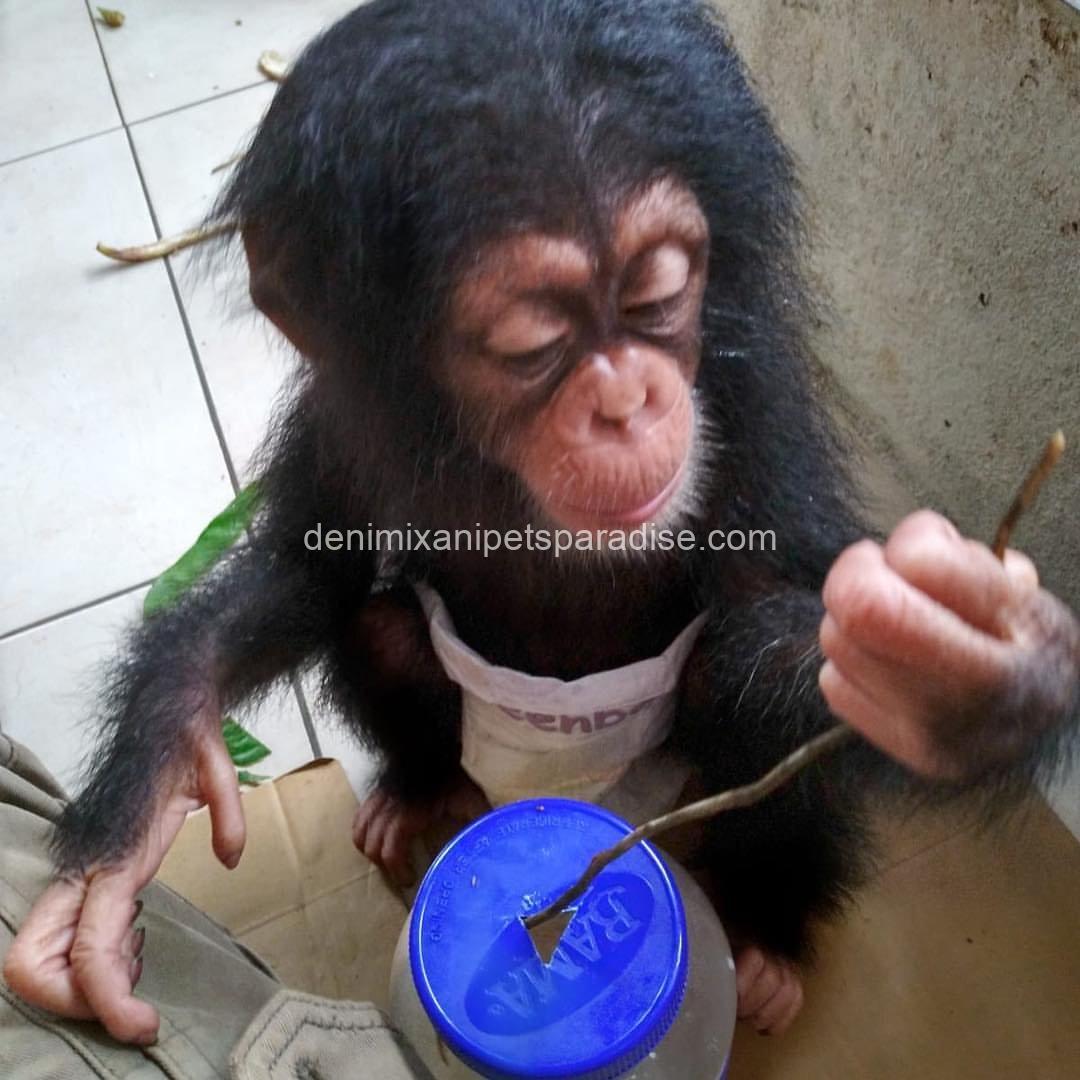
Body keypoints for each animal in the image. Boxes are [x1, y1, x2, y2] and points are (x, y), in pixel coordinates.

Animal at [5, 0, 1078, 1046]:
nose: (628, 401)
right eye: (534, 344)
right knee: (380, 625)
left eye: (656, 296)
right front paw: (134, 825)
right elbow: (310, 573)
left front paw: (957, 677)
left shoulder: (754, 393)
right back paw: (418, 794)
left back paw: (766, 940)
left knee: (733, 683)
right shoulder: (342, 419)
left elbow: (774, 607)